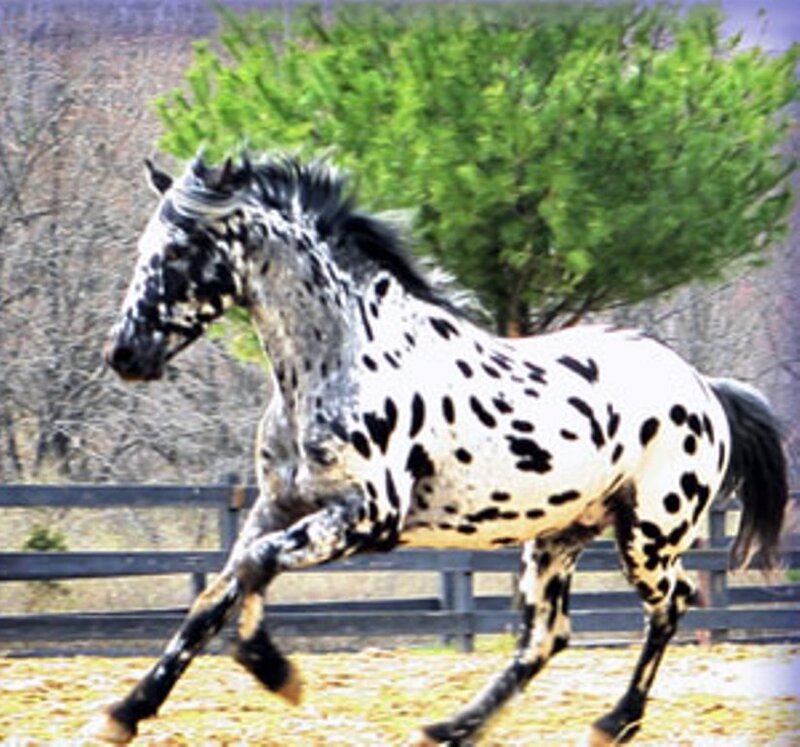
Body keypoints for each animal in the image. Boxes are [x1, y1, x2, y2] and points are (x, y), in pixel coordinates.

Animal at [96, 153, 788, 746]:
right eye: (146, 247)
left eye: (184, 250)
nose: (125, 354)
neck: (343, 362)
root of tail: (705, 388)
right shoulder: (278, 506)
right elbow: (218, 593)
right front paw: (126, 713)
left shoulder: (368, 519)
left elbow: (255, 568)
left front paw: (274, 670)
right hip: (555, 539)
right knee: (546, 638)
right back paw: (451, 729)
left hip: (648, 536)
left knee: (672, 604)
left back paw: (613, 723)